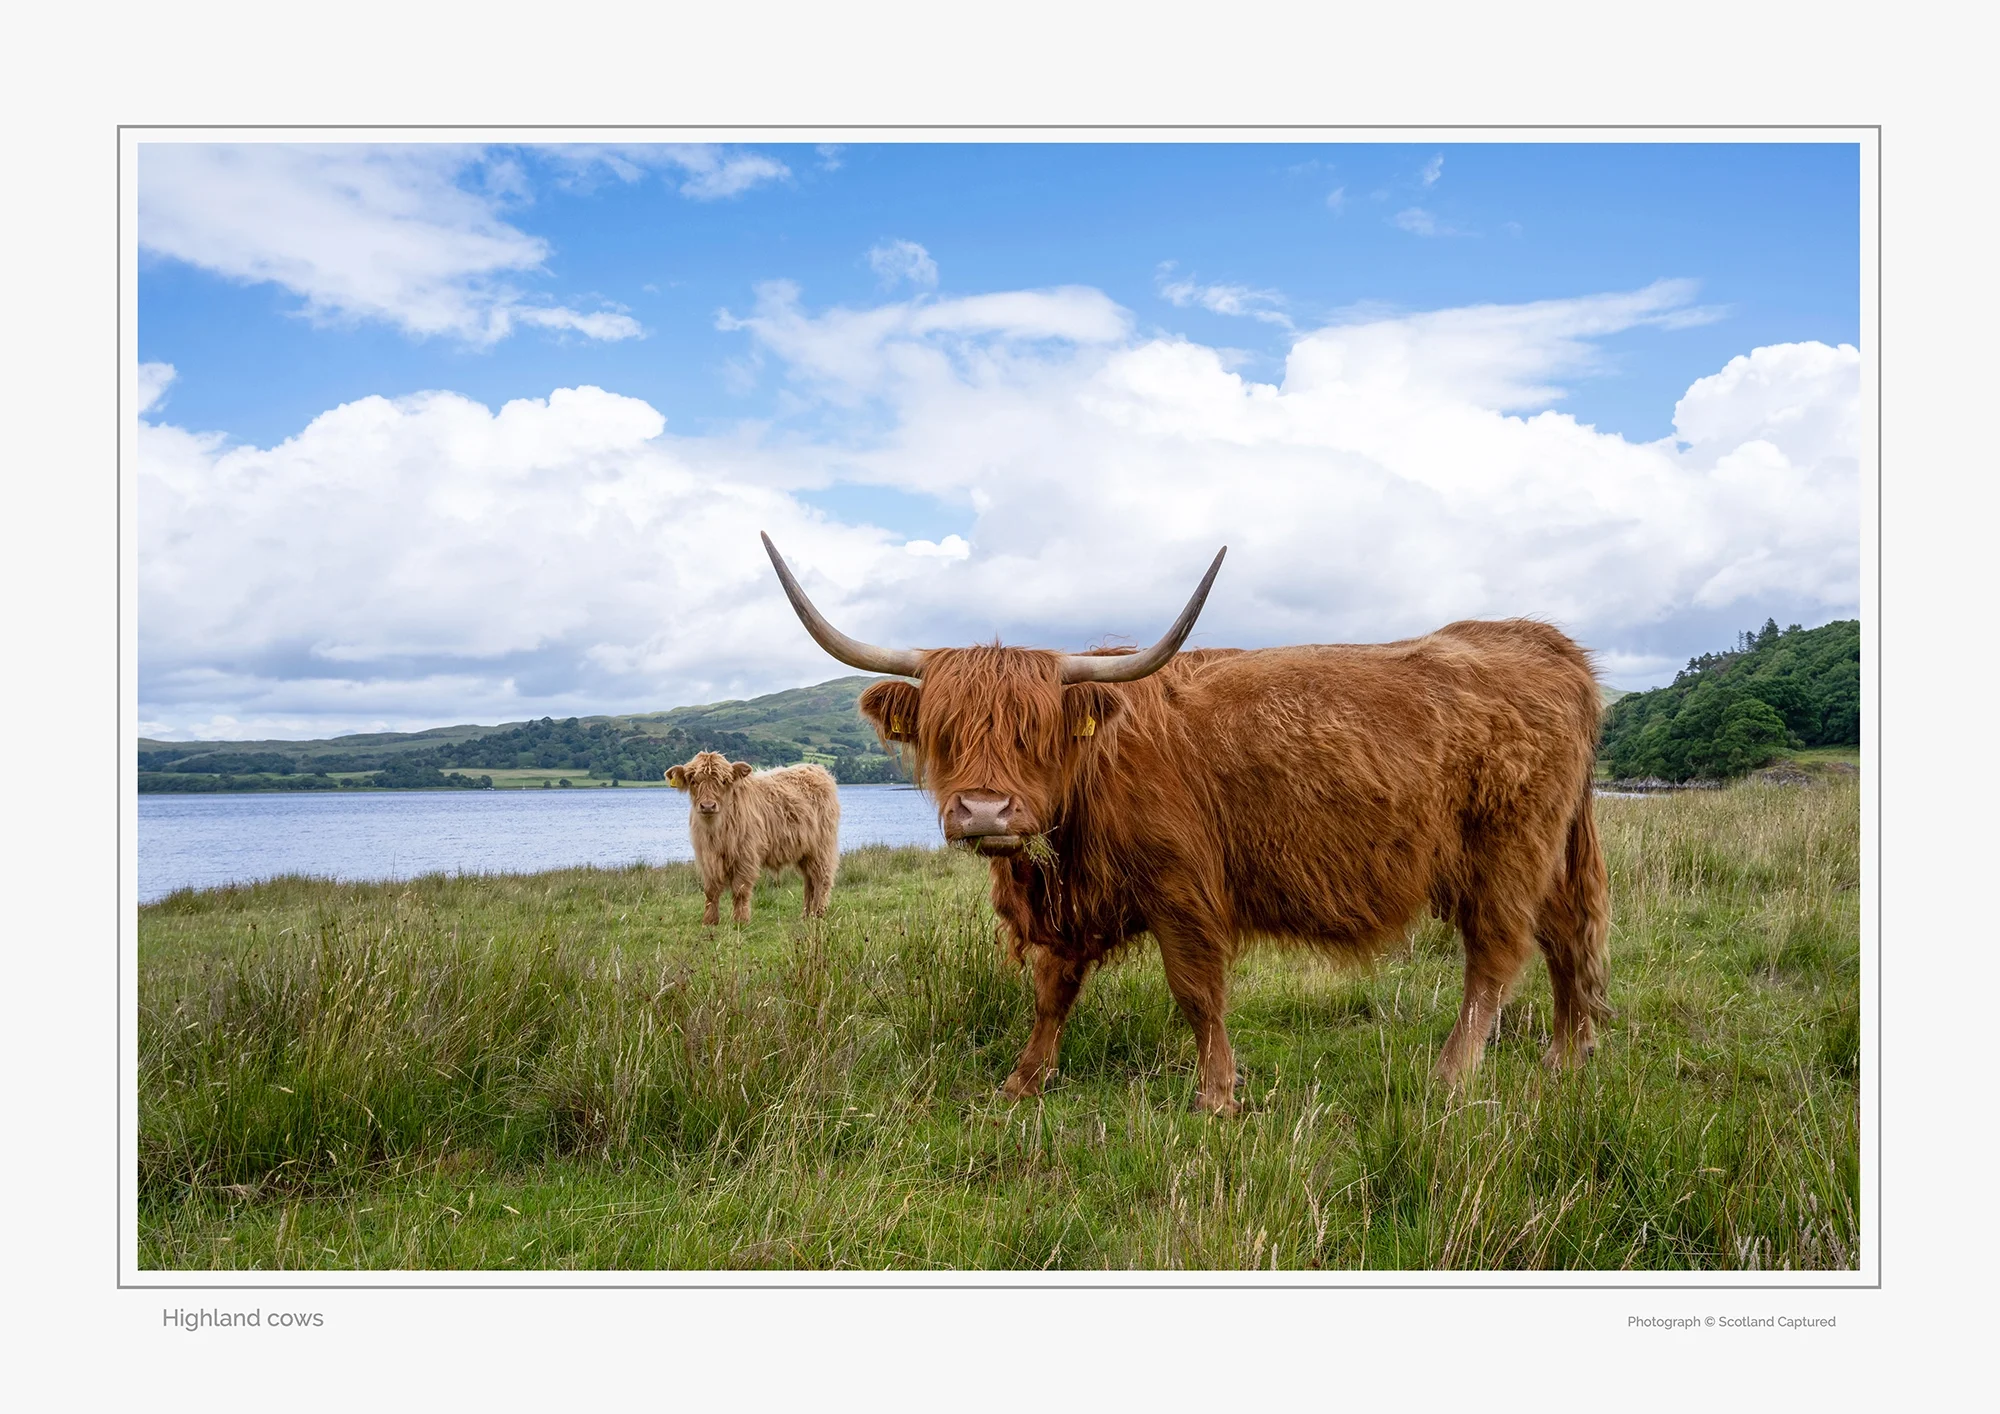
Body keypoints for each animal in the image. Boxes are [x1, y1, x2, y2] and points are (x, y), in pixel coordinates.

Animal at [665, 751, 841, 925]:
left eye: (723, 781)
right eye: (693, 781)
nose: (708, 806)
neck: (716, 831)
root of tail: (816, 768)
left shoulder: (745, 855)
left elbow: (740, 889)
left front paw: (740, 920)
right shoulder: (707, 857)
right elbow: (711, 890)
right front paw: (709, 920)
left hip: (821, 846)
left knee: (822, 878)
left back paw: (818, 914)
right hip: (805, 851)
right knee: (809, 881)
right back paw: (806, 915)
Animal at [760, 533, 1609, 1115]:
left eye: (1036, 733)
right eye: (944, 731)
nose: (986, 810)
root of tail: (1541, 640)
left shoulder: (1183, 889)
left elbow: (1197, 991)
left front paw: (1217, 1095)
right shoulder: (1070, 905)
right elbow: (1051, 992)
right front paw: (1023, 1080)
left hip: (1505, 852)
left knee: (1495, 960)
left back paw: (1452, 1077)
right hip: (1553, 854)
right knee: (1568, 941)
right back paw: (1568, 1060)